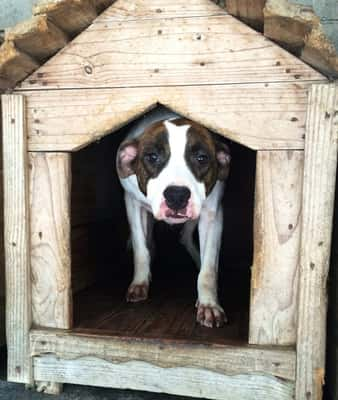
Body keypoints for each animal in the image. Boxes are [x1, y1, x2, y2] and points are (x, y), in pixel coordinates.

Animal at [115, 107, 230, 328]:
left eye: (202, 158)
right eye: (152, 157)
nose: (177, 195)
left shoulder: (212, 215)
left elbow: (209, 269)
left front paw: (208, 304)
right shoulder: (133, 204)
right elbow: (141, 250)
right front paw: (140, 282)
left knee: (185, 237)